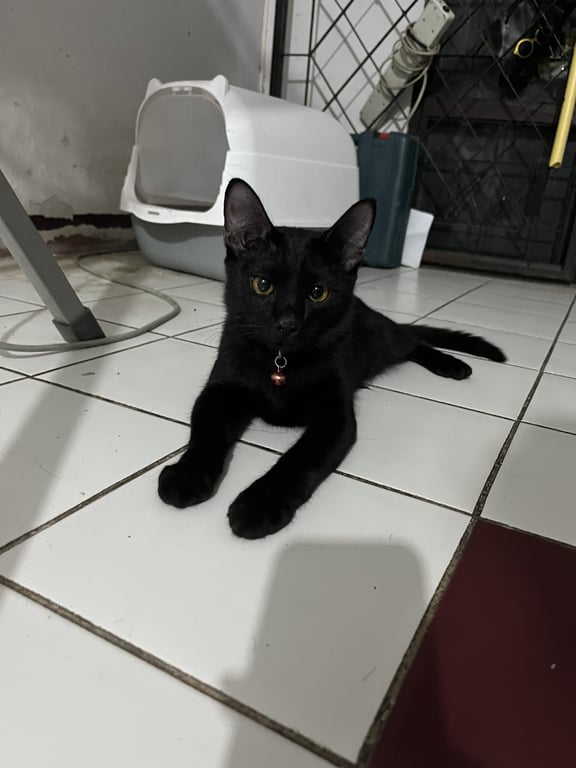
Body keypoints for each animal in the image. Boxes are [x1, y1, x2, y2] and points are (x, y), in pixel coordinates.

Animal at [158, 178, 506, 539]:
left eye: (318, 293)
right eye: (262, 285)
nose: (288, 324)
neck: (280, 362)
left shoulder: (335, 417)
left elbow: (300, 459)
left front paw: (259, 504)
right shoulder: (220, 390)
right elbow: (206, 432)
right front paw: (186, 476)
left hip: (386, 340)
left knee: (414, 341)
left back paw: (452, 364)